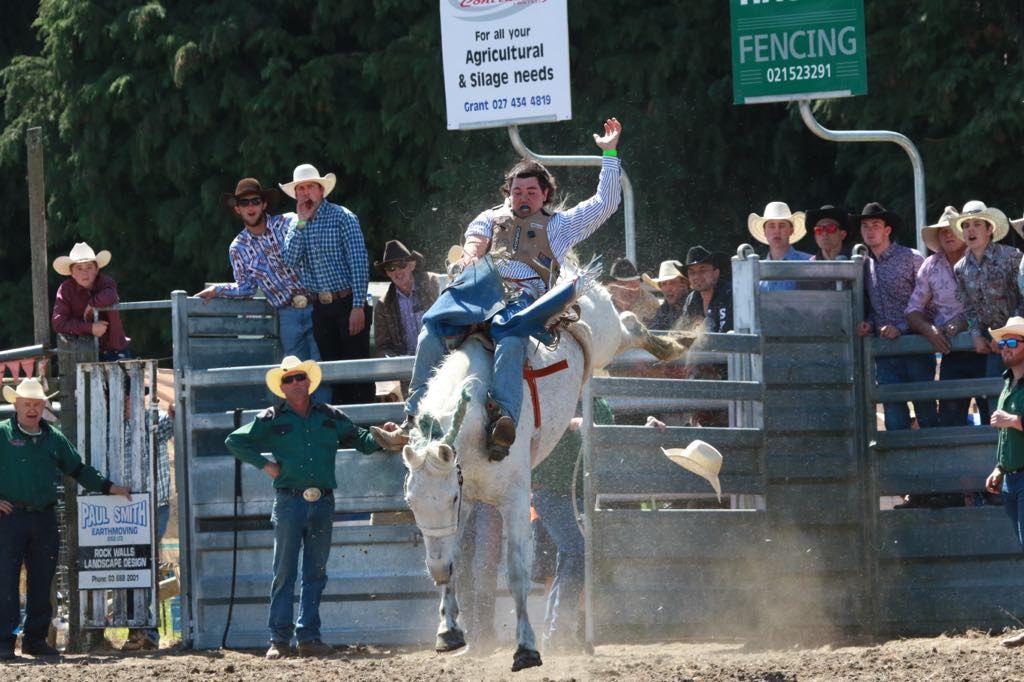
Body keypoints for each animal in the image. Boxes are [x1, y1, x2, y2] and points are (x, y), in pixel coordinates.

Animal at [399, 264, 688, 667]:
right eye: (410, 502)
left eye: (450, 499)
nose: (435, 570)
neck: (479, 421)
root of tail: (571, 275)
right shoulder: (466, 496)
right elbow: (455, 557)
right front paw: (448, 630)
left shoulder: (514, 498)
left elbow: (517, 573)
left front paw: (526, 648)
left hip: (607, 335)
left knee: (630, 323)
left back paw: (674, 343)